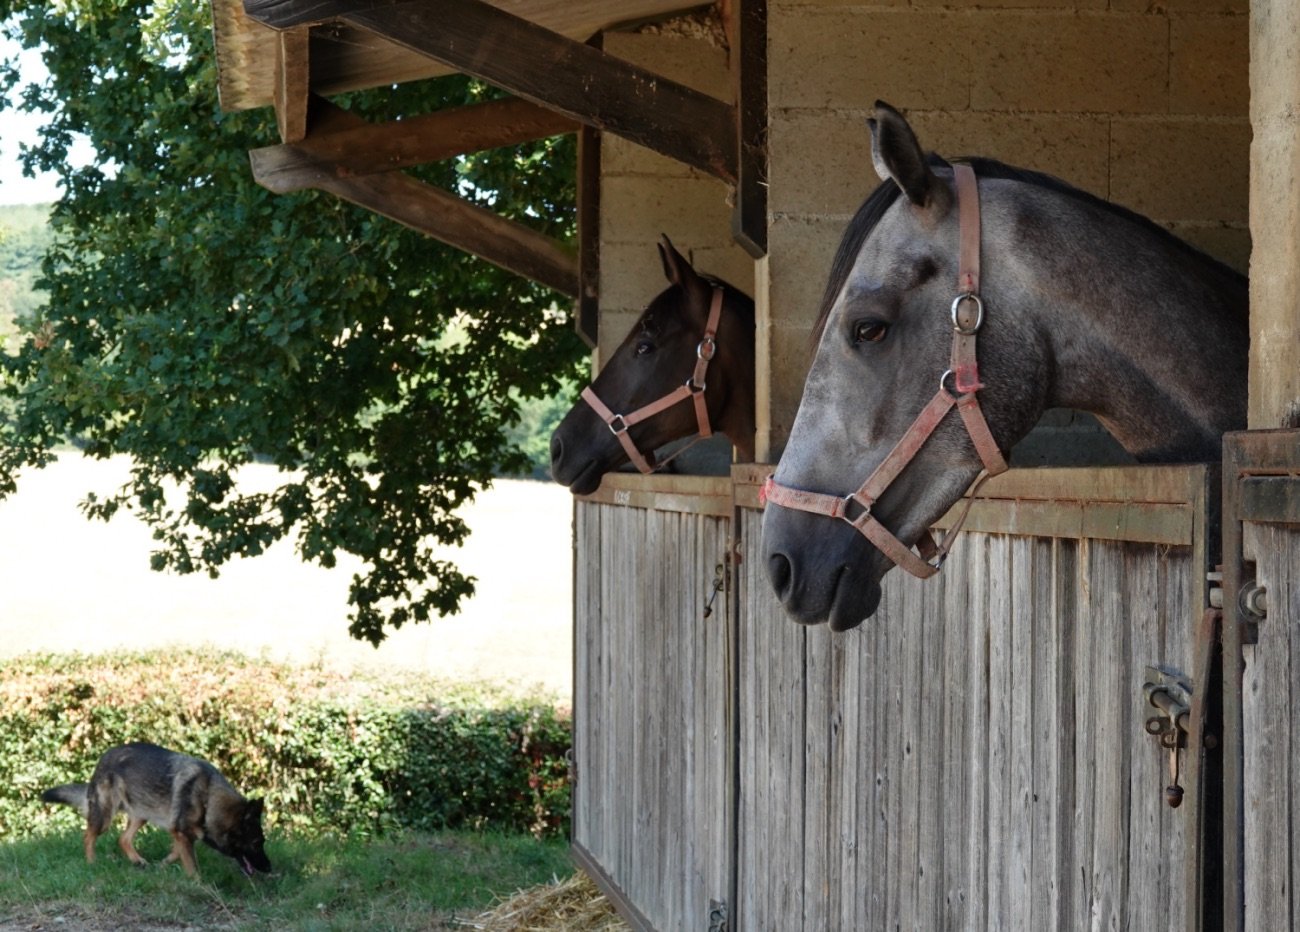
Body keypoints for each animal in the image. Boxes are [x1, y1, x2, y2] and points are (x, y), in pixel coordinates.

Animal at [41, 741, 271, 878]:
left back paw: (138, 861)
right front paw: (200, 886)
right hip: (105, 816)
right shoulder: (182, 833)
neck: (208, 799)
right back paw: (92, 863)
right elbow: (192, 866)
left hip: (143, 813)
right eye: (256, 843)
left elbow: (177, 853)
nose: (270, 868)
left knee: (123, 839)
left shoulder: (180, 833)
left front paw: (162, 866)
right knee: (88, 836)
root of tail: (105, 756)